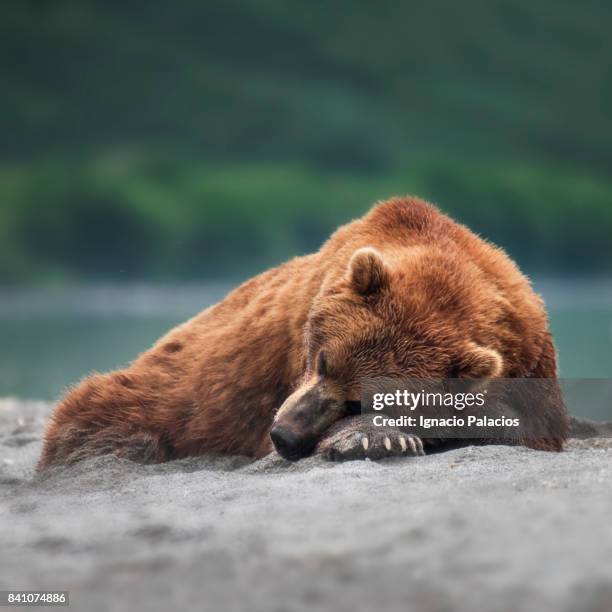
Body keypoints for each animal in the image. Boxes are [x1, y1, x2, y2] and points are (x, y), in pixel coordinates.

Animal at [37, 196, 568, 468]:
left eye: (360, 401)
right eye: (324, 358)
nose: (285, 435)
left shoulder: (531, 351)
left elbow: (529, 428)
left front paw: (374, 437)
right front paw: (377, 441)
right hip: (168, 390)